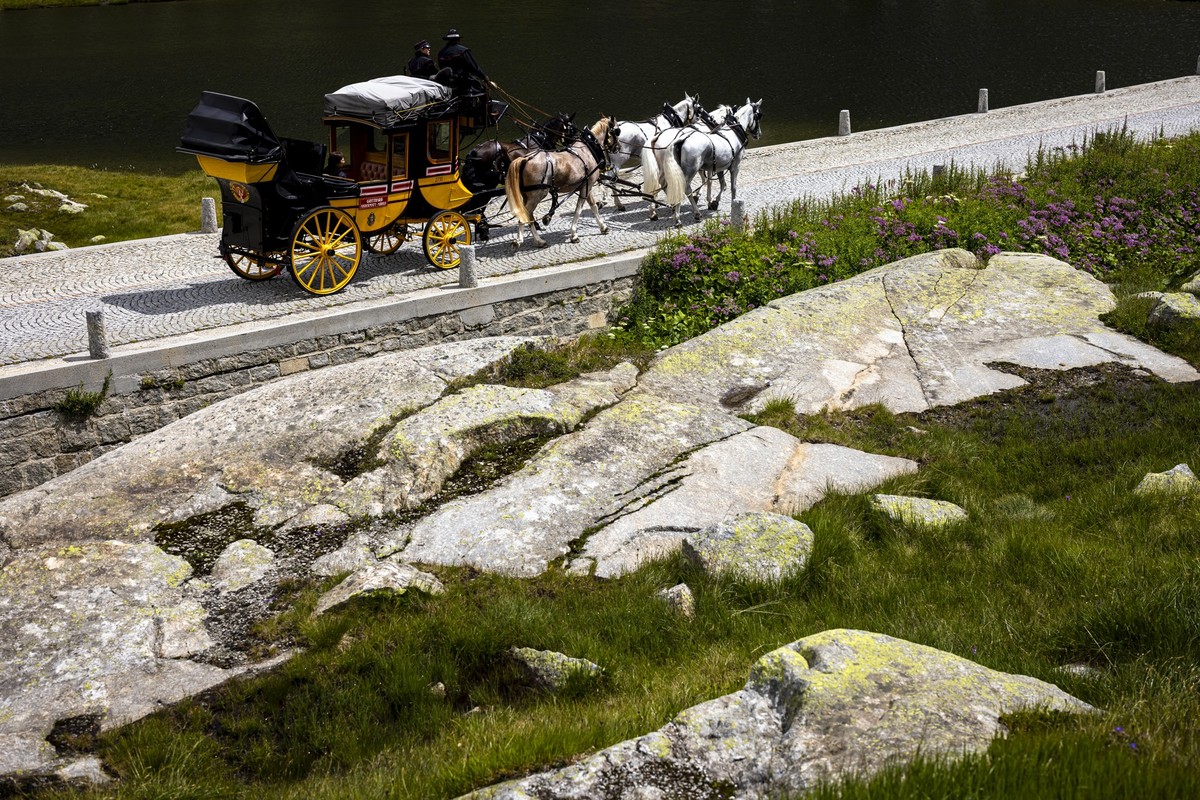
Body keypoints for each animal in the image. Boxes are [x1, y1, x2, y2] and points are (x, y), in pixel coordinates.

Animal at [504, 116, 613, 248]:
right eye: (616, 130)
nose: (617, 147)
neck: (588, 149)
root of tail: (525, 158)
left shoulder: (585, 186)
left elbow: (592, 206)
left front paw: (602, 227)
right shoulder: (587, 186)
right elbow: (581, 209)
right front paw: (574, 234)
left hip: (527, 196)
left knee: (528, 215)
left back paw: (532, 240)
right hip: (537, 195)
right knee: (525, 215)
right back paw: (530, 240)